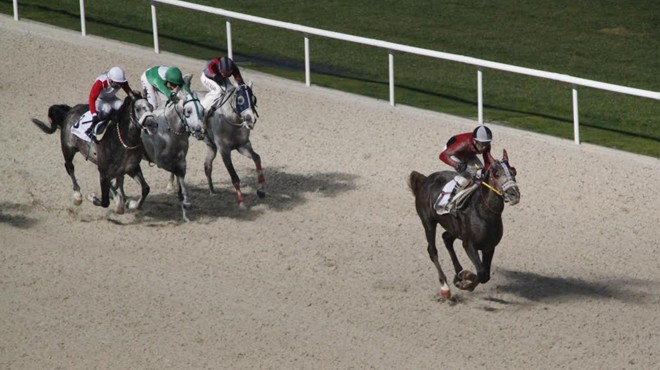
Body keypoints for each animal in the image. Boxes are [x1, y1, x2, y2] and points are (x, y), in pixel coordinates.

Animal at [142, 73, 206, 221]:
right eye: (188, 111)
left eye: (202, 110)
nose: (200, 131)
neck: (171, 130)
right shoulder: (160, 161)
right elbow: (175, 171)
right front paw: (175, 191)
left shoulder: (182, 159)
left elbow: (180, 174)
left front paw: (184, 201)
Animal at [408, 149, 520, 300]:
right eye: (496, 174)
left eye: (514, 171)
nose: (514, 194)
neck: (484, 212)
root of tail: (424, 180)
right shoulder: (469, 245)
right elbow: (481, 273)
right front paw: (466, 282)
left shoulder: (489, 247)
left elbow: (485, 274)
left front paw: (463, 279)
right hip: (428, 222)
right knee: (432, 250)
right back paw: (445, 287)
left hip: (455, 229)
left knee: (446, 238)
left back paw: (458, 272)